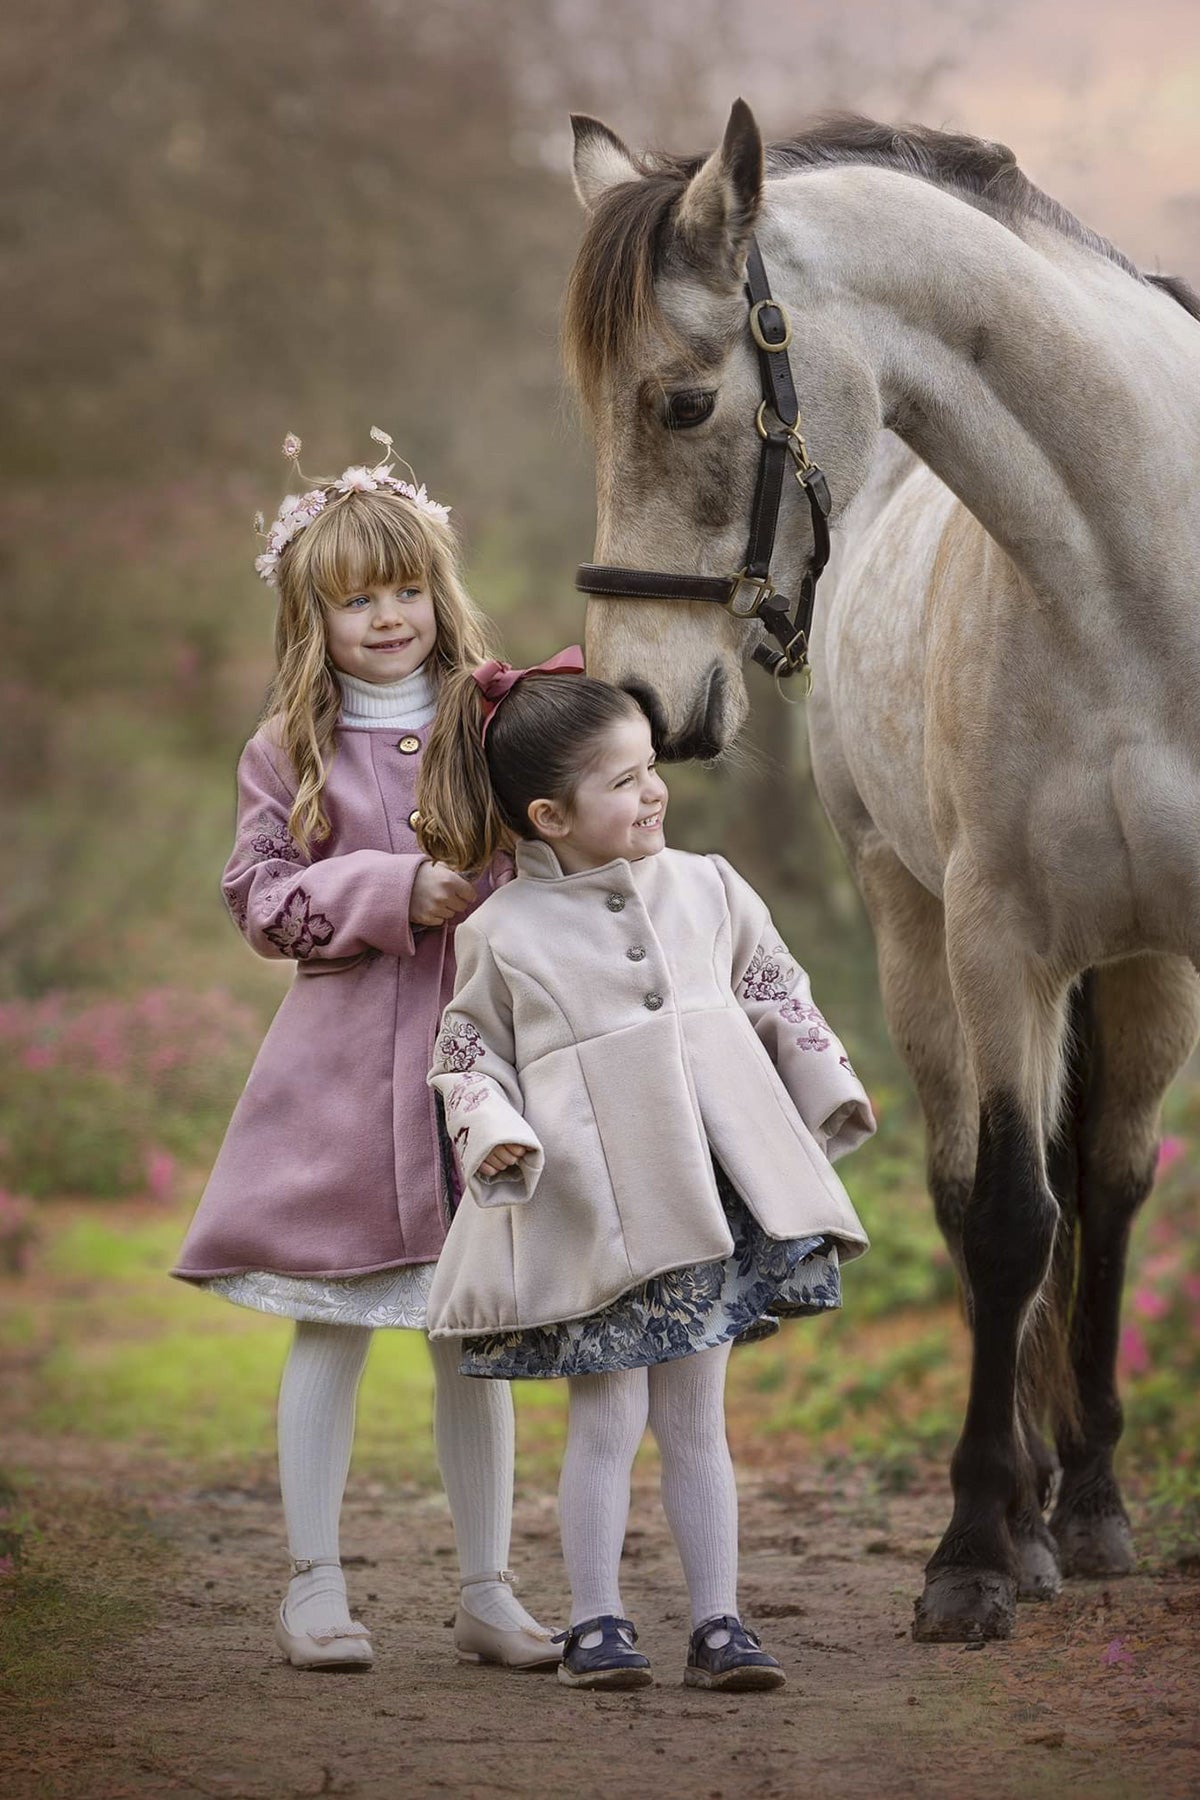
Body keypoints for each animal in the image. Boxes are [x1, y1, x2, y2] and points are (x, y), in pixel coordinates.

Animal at [564, 98, 1200, 1648]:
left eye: (682, 406)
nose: (635, 703)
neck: (1144, 583)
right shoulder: (999, 945)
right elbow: (1011, 1222)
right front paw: (975, 1550)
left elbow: (1080, 1206)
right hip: (921, 936)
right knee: (984, 1193)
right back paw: (1034, 1516)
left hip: (1145, 965)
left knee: (1112, 1182)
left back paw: (1091, 1503)